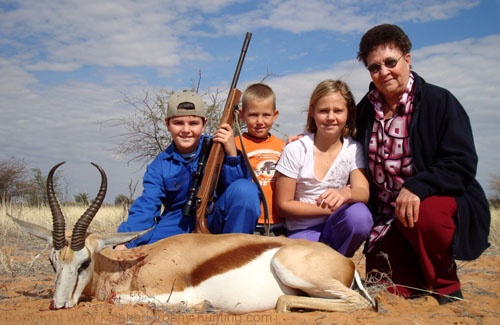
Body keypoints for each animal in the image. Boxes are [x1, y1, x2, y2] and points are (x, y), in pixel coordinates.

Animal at [7, 161, 376, 312]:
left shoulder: (167, 290)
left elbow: (119, 299)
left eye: (84, 263)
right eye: (53, 262)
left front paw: (203, 305)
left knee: (361, 303)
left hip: (291, 270)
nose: (56, 304)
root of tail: (346, 262)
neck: (132, 266)